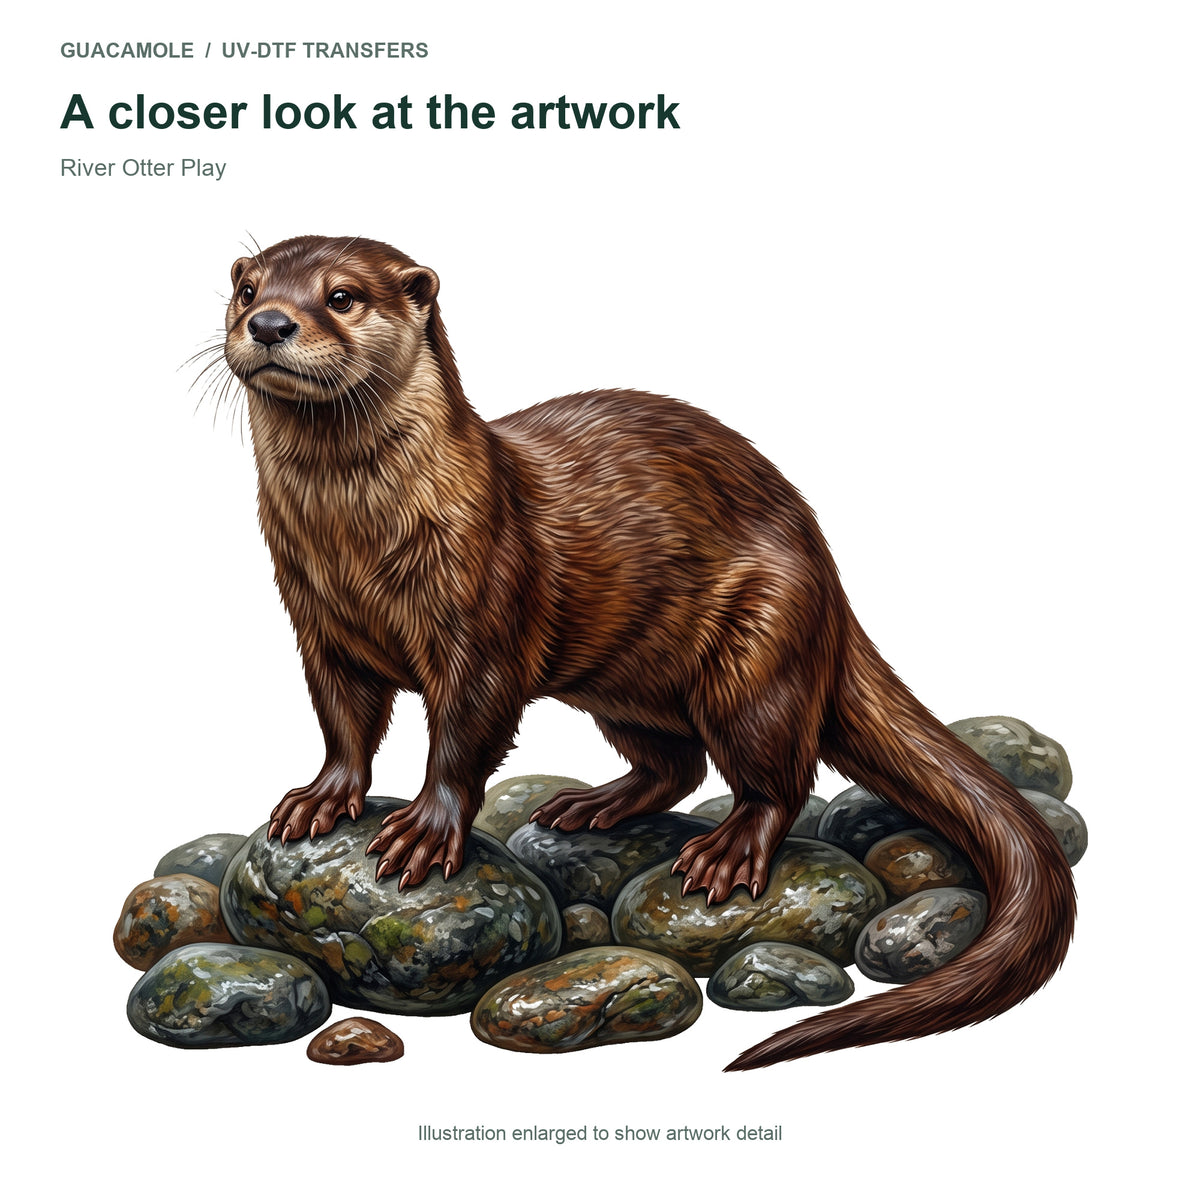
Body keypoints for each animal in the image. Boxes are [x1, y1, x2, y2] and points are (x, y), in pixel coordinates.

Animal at [219, 234, 1075, 1070]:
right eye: (247, 288)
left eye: (341, 296)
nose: (270, 323)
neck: (355, 548)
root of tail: (830, 589)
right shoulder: (318, 624)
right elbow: (344, 721)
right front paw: (320, 799)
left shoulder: (485, 617)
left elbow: (463, 735)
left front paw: (425, 830)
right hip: (623, 685)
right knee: (676, 763)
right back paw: (591, 806)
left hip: (758, 648)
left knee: (777, 774)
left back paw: (726, 850)